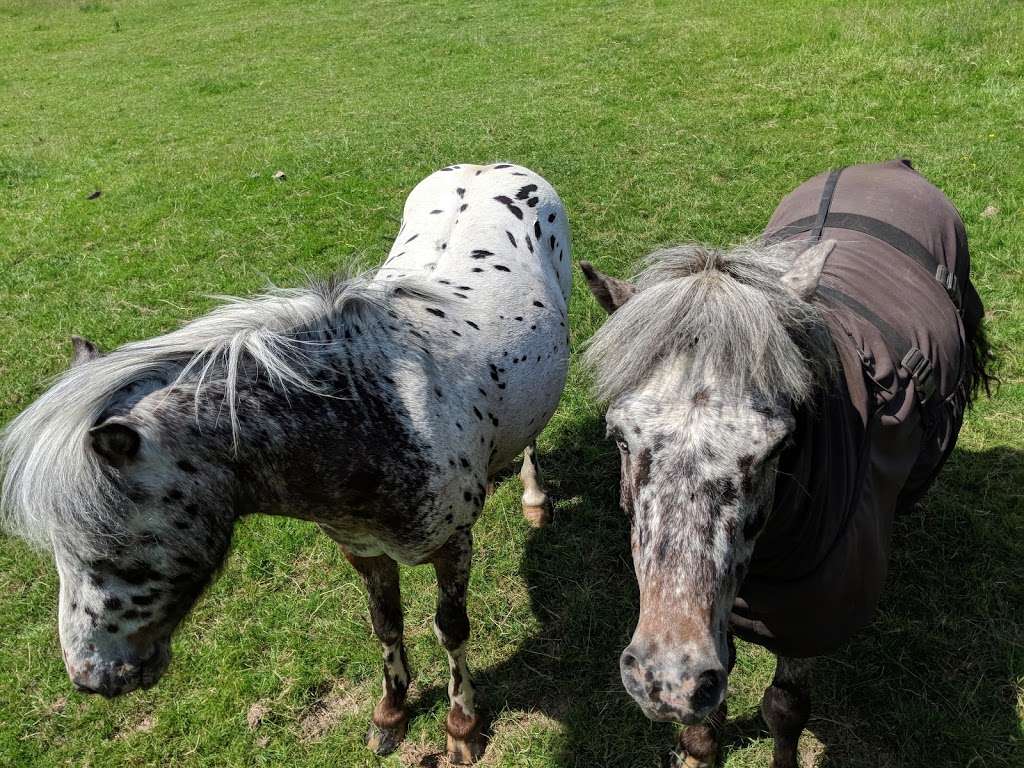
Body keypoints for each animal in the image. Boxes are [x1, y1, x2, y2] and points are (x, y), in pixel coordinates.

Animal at [0, 160, 573, 765]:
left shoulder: (453, 546)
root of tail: (488, 166)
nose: (89, 678)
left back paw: (535, 498)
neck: (375, 413)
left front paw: (462, 726)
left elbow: (452, 630)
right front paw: (390, 714)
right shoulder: (362, 551)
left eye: (110, 547)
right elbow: (386, 625)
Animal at [585, 159, 991, 765]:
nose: (667, 679)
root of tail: (890, 165)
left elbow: (784, 708)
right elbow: (708, 722)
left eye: (777, 447)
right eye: (619, 438)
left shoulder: (808, 621)